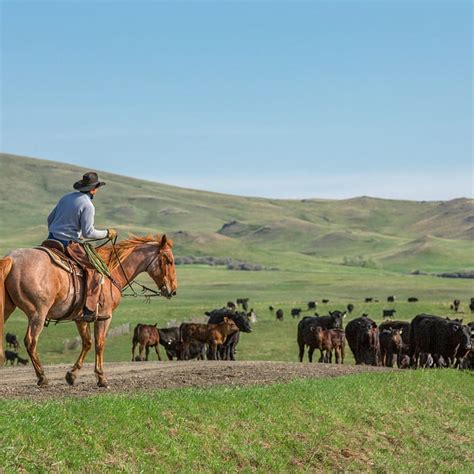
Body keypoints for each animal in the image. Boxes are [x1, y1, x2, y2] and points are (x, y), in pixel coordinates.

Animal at [0, 235, 177, 386]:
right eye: (168, 260)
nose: (173, 290)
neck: (112, 271)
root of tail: (12, 259)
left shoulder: (81, 318)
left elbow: (87, 343)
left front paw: (72, 375)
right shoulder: (104, 316)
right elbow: (99, 343)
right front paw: (101, 378)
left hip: (7, 310)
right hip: (38, 314)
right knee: (31, 341)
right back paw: (42, 377)